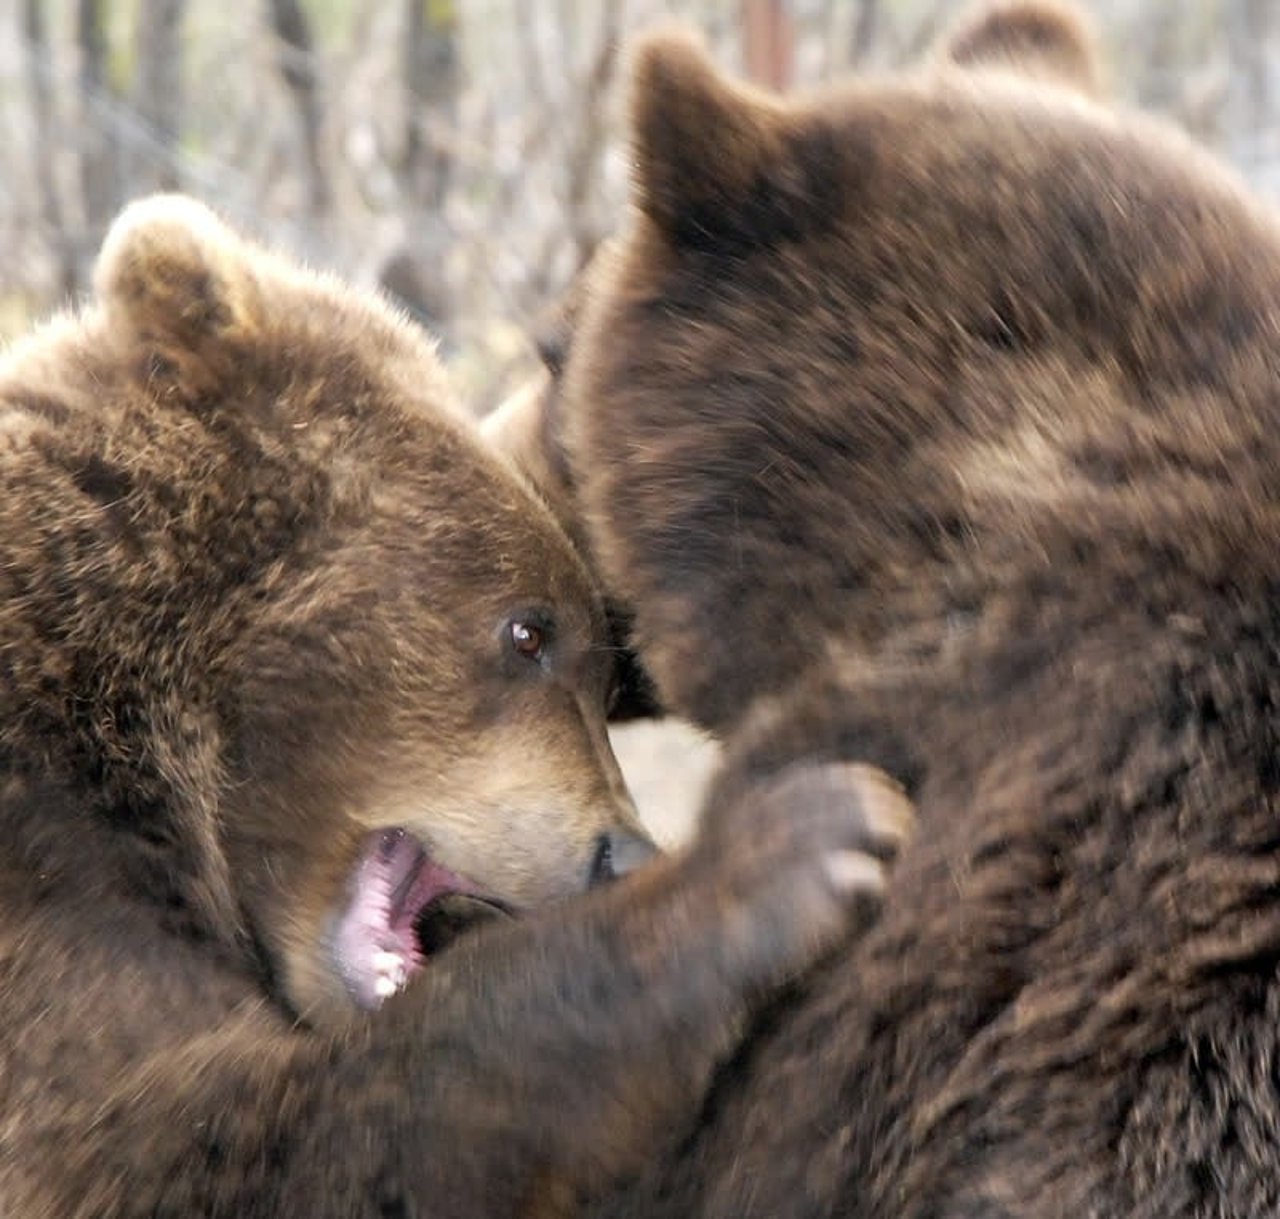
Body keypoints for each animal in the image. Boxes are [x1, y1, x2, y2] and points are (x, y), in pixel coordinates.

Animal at [0, 194, 911, 1213]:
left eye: (607, 672)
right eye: (528, 631)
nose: (621, 855)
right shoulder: (47, 892)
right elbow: (187, 1144)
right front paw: (791, 845)